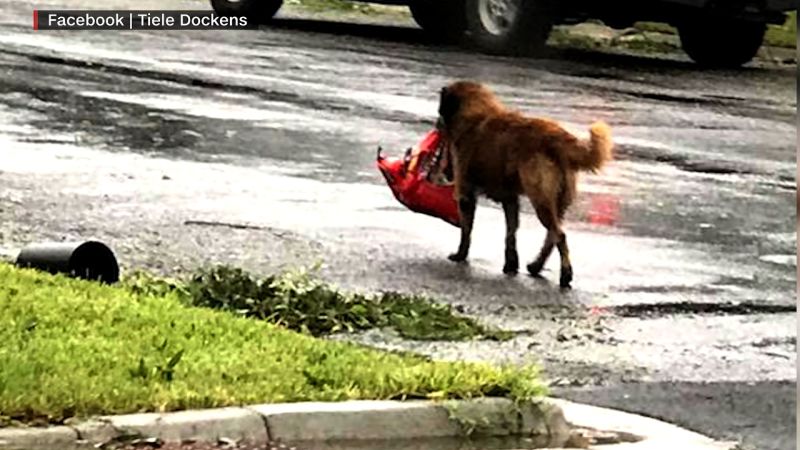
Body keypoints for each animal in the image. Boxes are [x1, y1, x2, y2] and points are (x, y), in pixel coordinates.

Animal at [438, 80, 612, 288]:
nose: (437, 123)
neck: (477, 113)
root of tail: (557, 137)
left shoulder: (466, 194)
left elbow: (467, 230)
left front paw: (460, 255)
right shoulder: (510, 199)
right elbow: (511, 233)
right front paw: (511, 264)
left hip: (541, 199)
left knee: (559, 235)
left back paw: (565, 274)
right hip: (557, 203)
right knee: (552, 235)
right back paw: (536, 266)